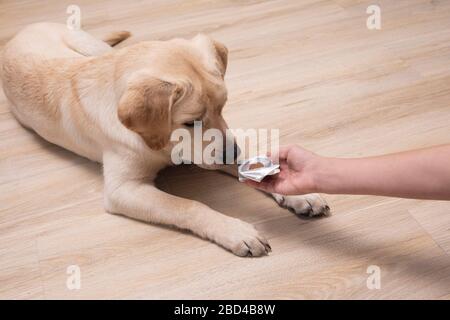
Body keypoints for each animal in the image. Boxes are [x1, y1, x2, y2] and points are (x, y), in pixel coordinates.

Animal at [0, 22, 330, 258]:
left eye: (223, 107)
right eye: (190, 121)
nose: (231, 153)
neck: (161, 142)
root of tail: (17, 35)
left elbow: (252, 163)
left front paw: (299, 193)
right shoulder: (124, 190)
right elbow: (188, 206)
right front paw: (235, 231)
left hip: (88, 44)